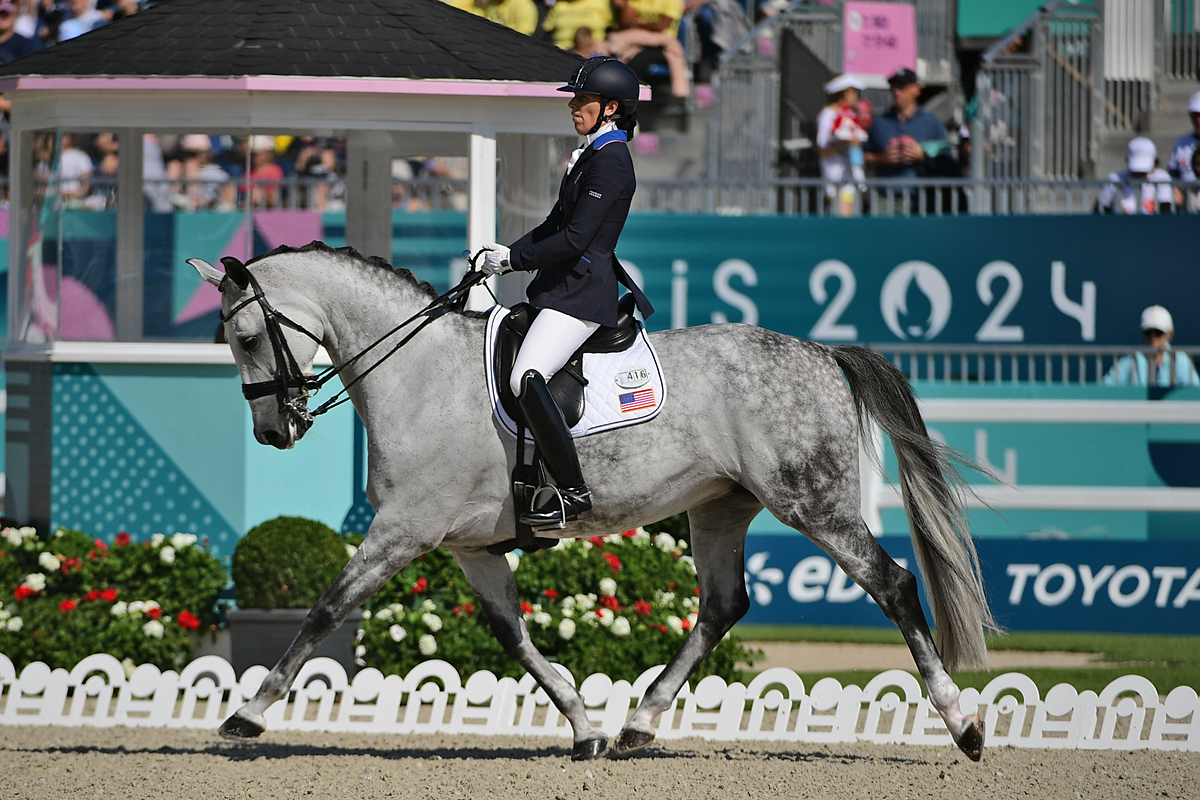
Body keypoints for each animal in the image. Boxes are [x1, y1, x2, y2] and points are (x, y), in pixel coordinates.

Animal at [187, 244, 993, 762]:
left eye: (247, 335)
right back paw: (638, 723)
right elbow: (513, 637)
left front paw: (245, 714)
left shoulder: (404, 529)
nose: (274, 431)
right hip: (719, 508)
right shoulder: (469, 545)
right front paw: (584, 728)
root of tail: (824, 352)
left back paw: (965, 725)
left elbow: (325, 609)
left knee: (893, 585)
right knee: (721, 606)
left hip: (813, 503)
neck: (417, 375)